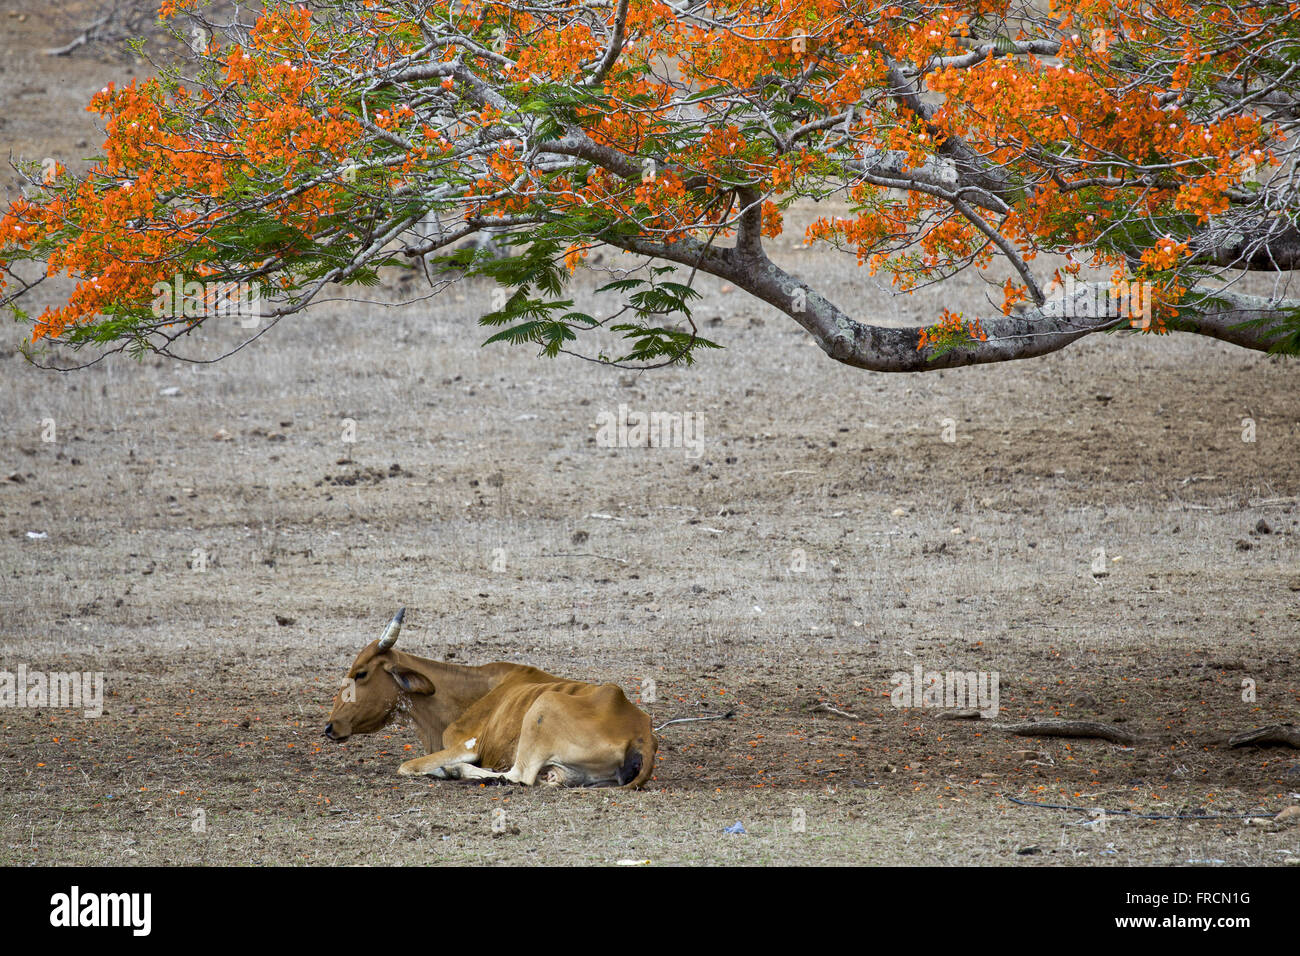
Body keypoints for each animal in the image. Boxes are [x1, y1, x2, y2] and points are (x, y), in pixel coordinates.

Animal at [321, 608, 655, 790]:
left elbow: (406, 766)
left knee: (519, 776)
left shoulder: (465, 746)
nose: (329, 727)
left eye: (361, 673)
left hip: (542, 708)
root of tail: (641, 730)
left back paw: (459, 772)